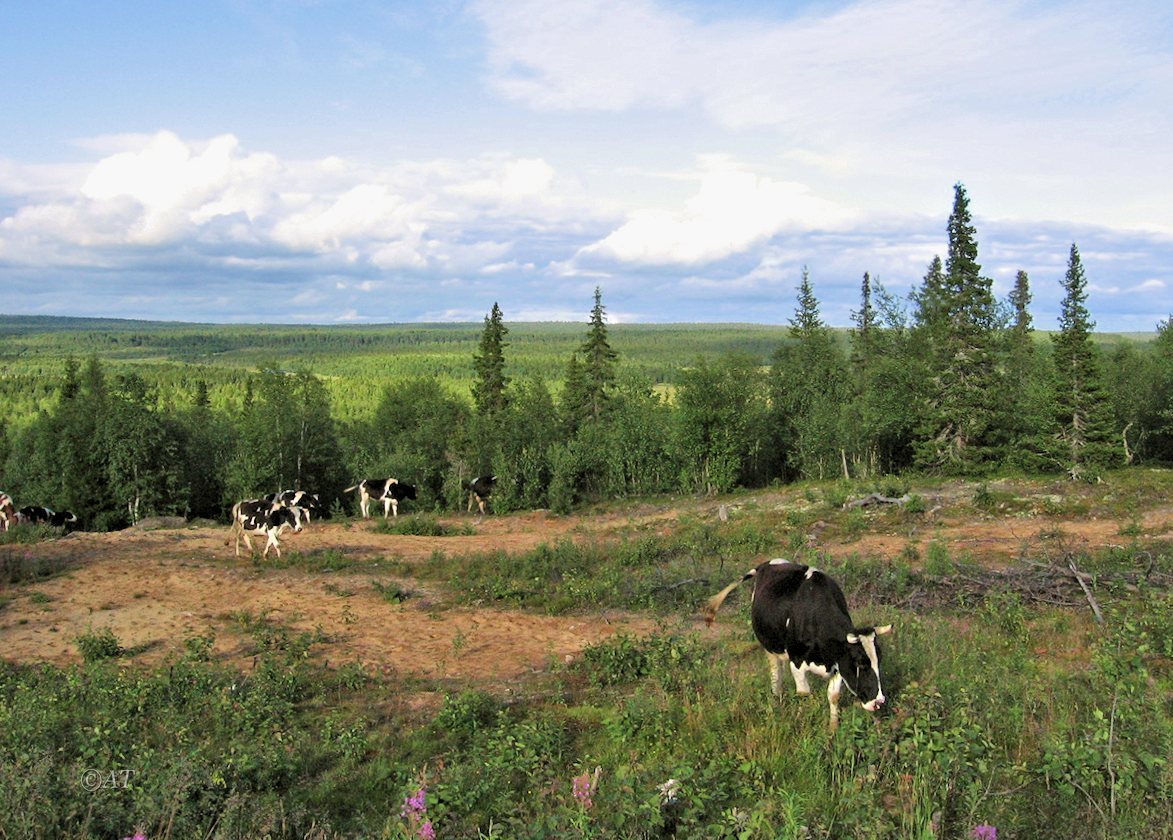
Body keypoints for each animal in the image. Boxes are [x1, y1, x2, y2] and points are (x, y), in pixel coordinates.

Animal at [699, 560, 891, 732]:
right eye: (860, 663)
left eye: (880, 660)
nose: (879, 702)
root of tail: (767, 564)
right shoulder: (797, 661)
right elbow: (804, 694)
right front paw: (802, 723)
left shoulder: (838, 662)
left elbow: (834, 696)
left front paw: (833, 728)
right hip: (769, 646)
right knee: (776, 673)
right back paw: (776, 700)